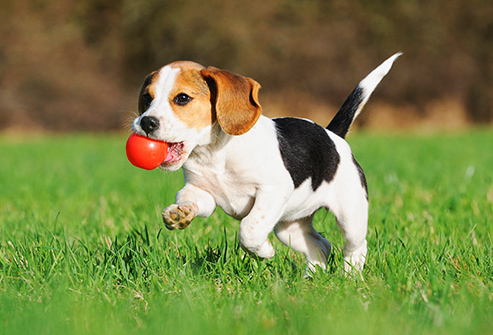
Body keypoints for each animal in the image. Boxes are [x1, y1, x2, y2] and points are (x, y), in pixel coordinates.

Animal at [132, 53, 400, 274]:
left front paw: (263, 252)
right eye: (146, 98)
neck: (214, 154)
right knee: (321, 246)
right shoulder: (202, 192)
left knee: (356, 247)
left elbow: (249, 229)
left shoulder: (272, 191)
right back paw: (311, 280)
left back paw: (350, 277)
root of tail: (332, 135)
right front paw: (180, 213)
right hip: (289, 227)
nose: (146, 122)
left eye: (182, 98)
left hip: (351, 215)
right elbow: (189, 198)